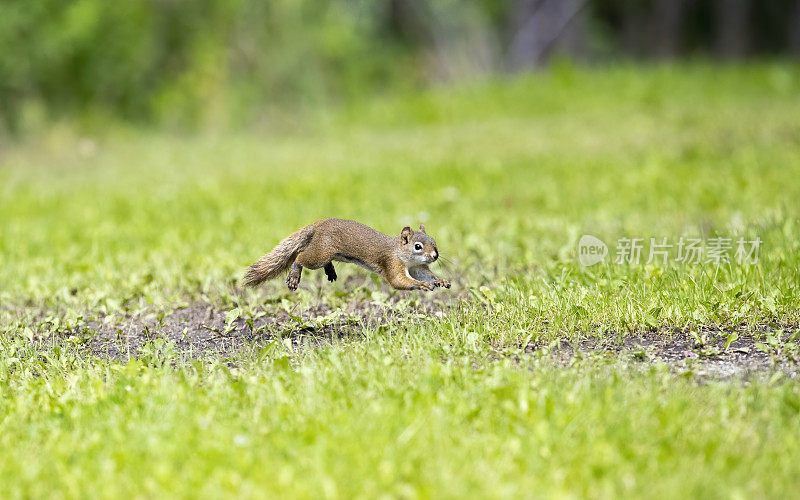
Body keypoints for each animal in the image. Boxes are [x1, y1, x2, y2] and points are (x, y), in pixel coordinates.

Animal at [241, 218, 450, 292]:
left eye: (434, 241)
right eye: (417, 246)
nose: (435, 256)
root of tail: (318, 224)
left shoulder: (418, 267)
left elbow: (426, 275)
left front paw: (440, 281)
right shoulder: (392, 262)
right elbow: (398, 280)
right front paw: (421, 285)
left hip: (325, 253)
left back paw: (331, 271)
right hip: (319, 254)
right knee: (300, 257)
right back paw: (294, 275)